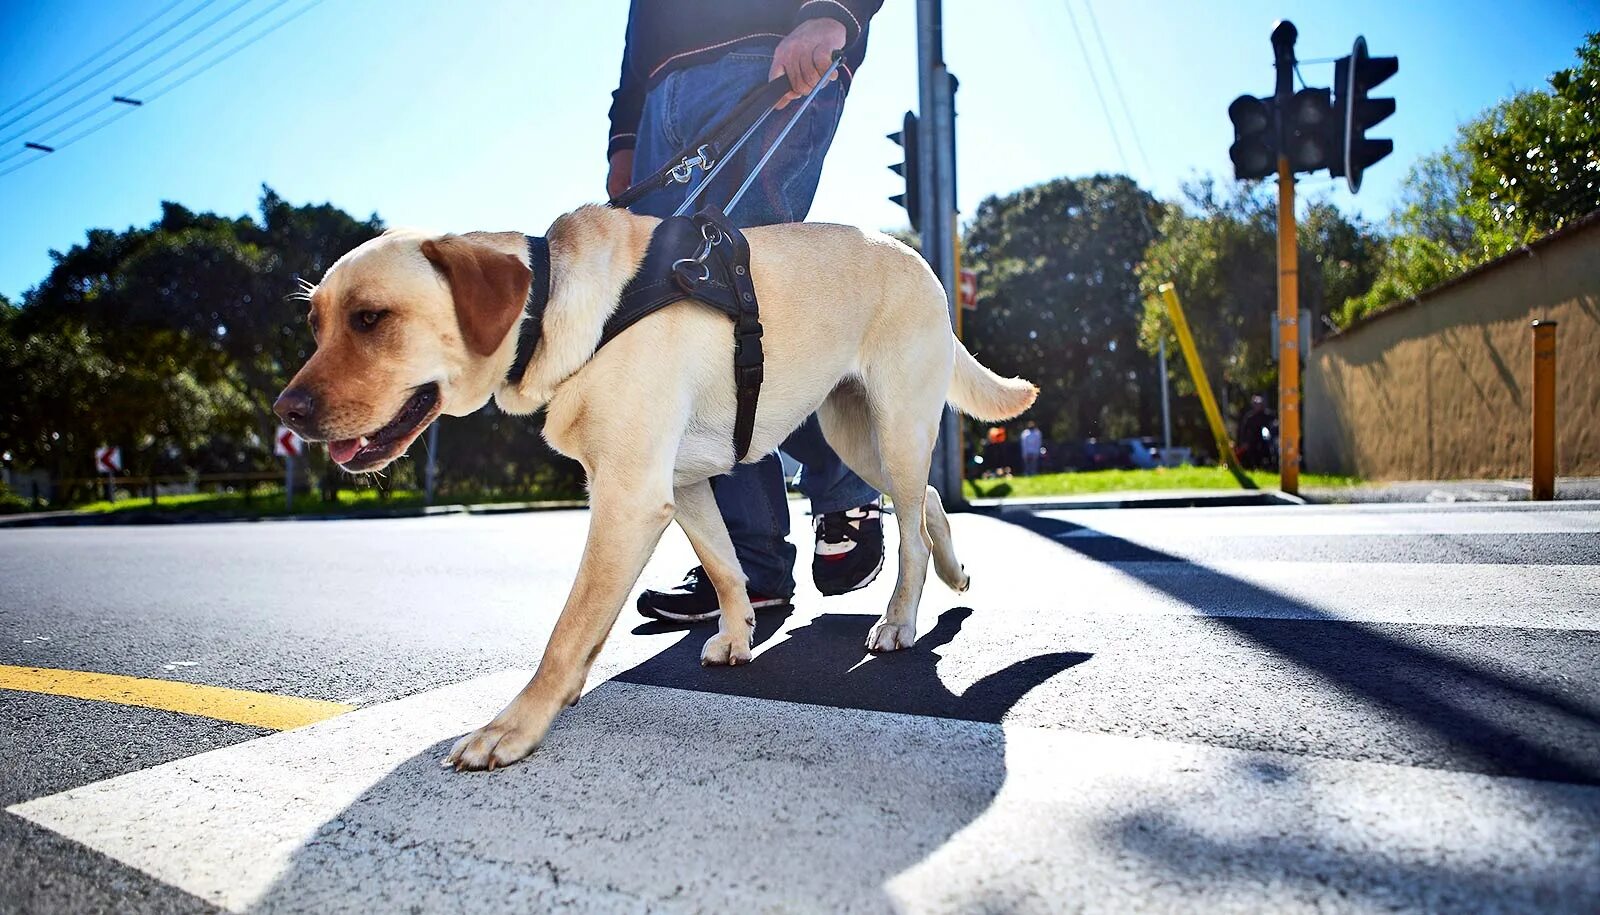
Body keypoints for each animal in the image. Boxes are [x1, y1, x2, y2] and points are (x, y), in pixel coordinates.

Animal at [275, 203, 1036, 767]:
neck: (552, 309)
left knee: (909, 528)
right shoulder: (683, 485)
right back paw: (955, 572)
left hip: (895, 424)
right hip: (853, 429)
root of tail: (919, 260)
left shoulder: (627, 497)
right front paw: (737, 634)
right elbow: (725, 568)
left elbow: (568, 629)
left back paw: (900, 619)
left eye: (371, 318)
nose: (286, 411)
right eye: (314, 323)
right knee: (927, 501)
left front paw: (514, 724)